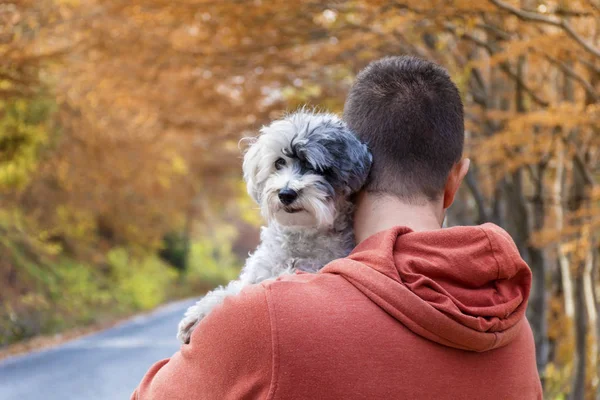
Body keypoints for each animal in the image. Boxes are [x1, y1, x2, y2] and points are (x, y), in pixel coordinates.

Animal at [176, 110, 370, 344]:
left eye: (317, 168)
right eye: (279, 163)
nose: (286, 193)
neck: (299, 238)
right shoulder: (257, 272)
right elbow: (233, 289)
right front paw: (198, 314)